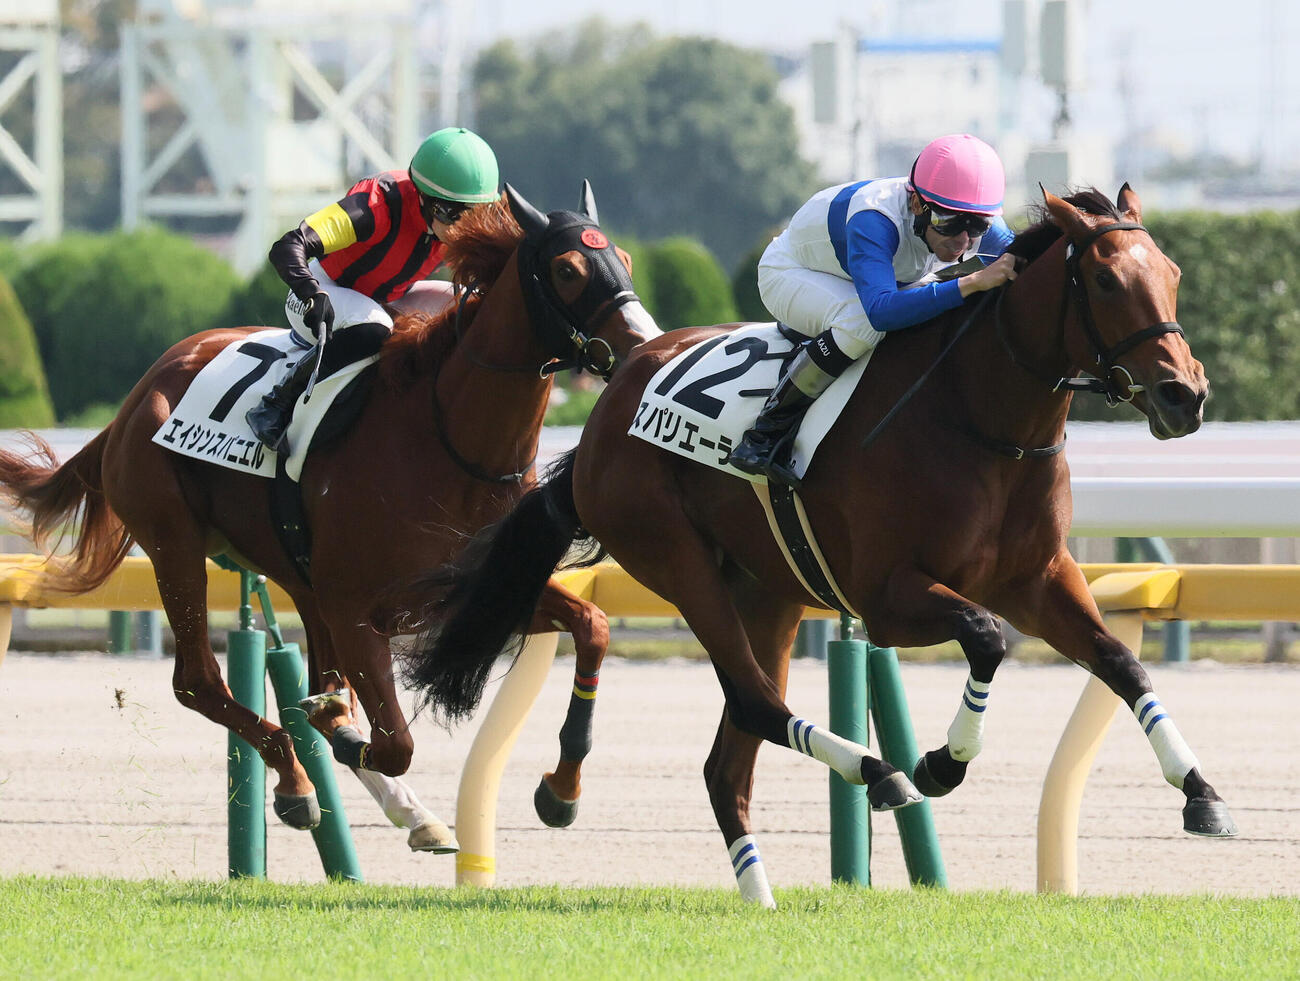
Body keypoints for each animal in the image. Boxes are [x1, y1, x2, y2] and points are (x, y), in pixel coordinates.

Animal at [0, 182, 660, 842]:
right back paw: (298, 784)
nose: (644, 347)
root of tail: (136, 397)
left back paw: (398, 802)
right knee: (198, 681)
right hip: (173, 542)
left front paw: (561, 789)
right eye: (568, 269)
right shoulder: (355, 607)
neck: (450, 440)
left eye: (625, 260)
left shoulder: (481, 584)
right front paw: (341, 736)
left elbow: (594, 627)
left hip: (295, 575)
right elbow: (390, 742)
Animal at [399, 185, 1236, 906]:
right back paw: (880, 772)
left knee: (728, 761)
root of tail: (608, 409)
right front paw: (941, 761)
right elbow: (985, 637)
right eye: (1104, 280)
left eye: (1172, 274)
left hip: (767, 592)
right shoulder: (889, 596)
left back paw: (760, 892)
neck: (978, 415)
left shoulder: (1038, 579)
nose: (1185, 395)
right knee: (756, 701)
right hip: (677, 559)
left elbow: (1120, 660)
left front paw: (1202, 792)